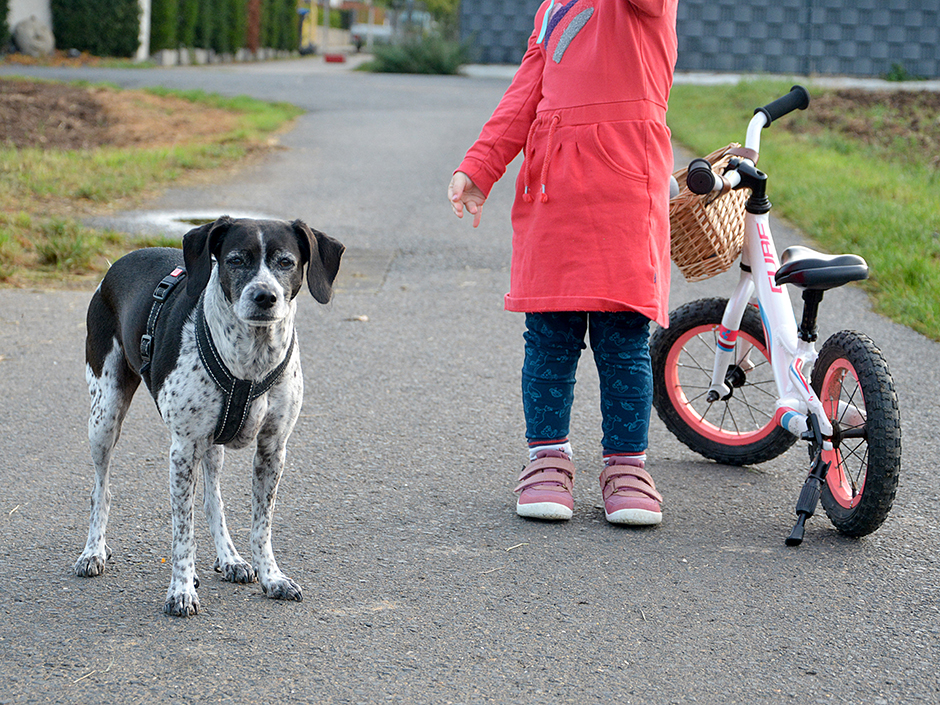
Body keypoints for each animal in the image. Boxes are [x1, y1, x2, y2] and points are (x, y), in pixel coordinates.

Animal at [74, 216, 346, 616]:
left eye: (286, 262)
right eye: (235, 260)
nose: (264, 296)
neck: (251, 359)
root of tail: (117, 263)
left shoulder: (272, 448)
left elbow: (260, 525)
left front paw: (271, 577)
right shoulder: (183, 450)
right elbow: (182, 533)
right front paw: (182, 590)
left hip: (211, 447)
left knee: (212, 499)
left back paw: (230, 558)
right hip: (104, 418)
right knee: (101, 490)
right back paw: (93, 551)